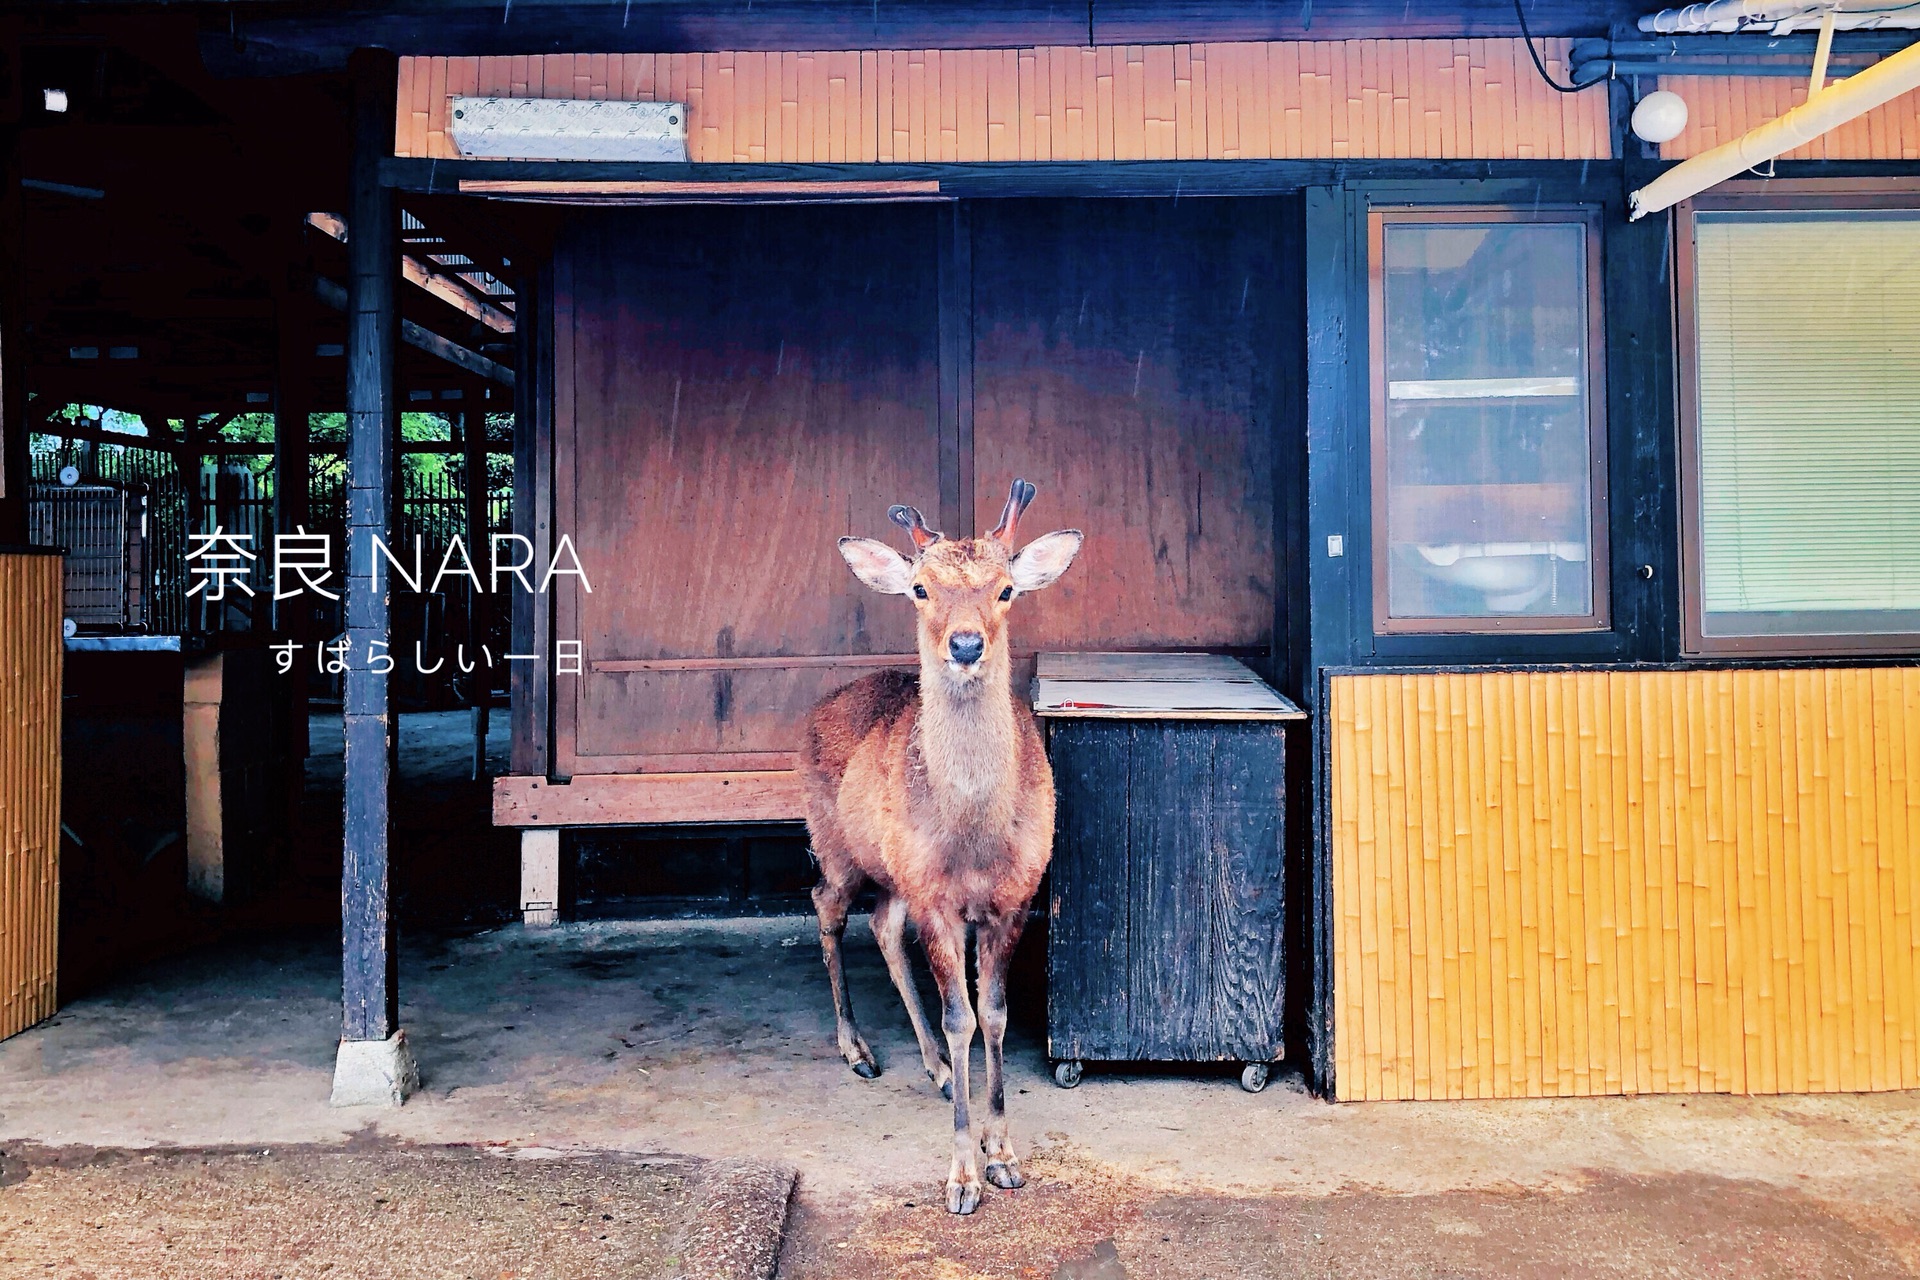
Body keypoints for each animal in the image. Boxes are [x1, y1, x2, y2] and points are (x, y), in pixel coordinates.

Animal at [802, 477, 1090, 1212]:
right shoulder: (938, 900)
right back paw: (857, 1049)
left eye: (1007, 588)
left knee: (881, 923)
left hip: (896, 872)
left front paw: (1003, 1151)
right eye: (920, 589)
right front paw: (962, 1173)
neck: (975, 840)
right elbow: (960, 1016)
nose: (964, 646)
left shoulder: (1014, 898)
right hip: (834, 843)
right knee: (827, 906)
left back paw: (933, 1067)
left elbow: (994, 1014)